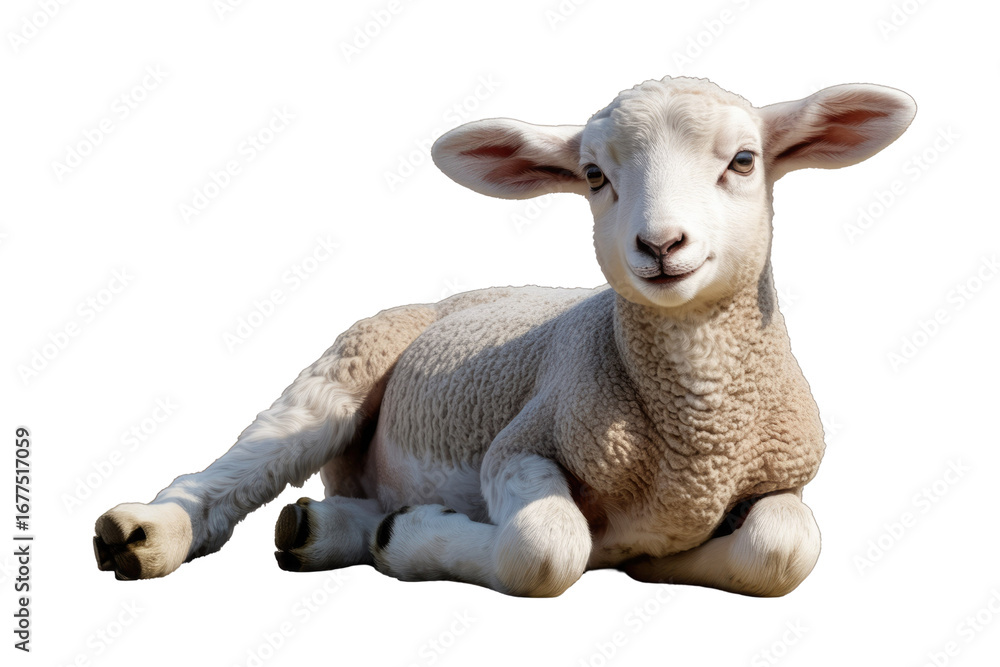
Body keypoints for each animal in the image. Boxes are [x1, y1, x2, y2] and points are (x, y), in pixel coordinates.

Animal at [93, 76, 916, 597]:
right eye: (594, 175)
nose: (661, 245)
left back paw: (323, 528)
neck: (698, 427)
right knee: (248, 459)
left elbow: (786, 549)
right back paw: (146, 533)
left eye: (744, 161)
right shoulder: (520, 446)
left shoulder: (783, 476)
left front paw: (663, 558)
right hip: (350, 362)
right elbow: (546, 550)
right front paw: (414, 540)